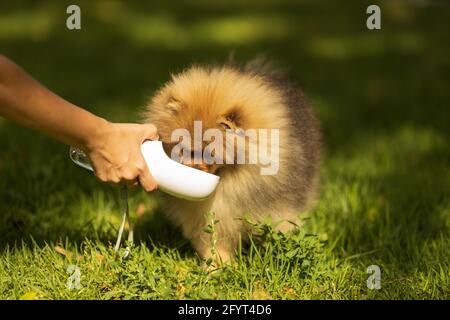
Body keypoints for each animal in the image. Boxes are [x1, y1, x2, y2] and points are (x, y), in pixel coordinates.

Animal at [142, 60, 322, 262]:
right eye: (185, 150)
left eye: (210, 154)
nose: (192, 167)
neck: (229, 179)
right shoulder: (208, 218)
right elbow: (214, 243)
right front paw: (218, 265)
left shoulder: (278, 209)